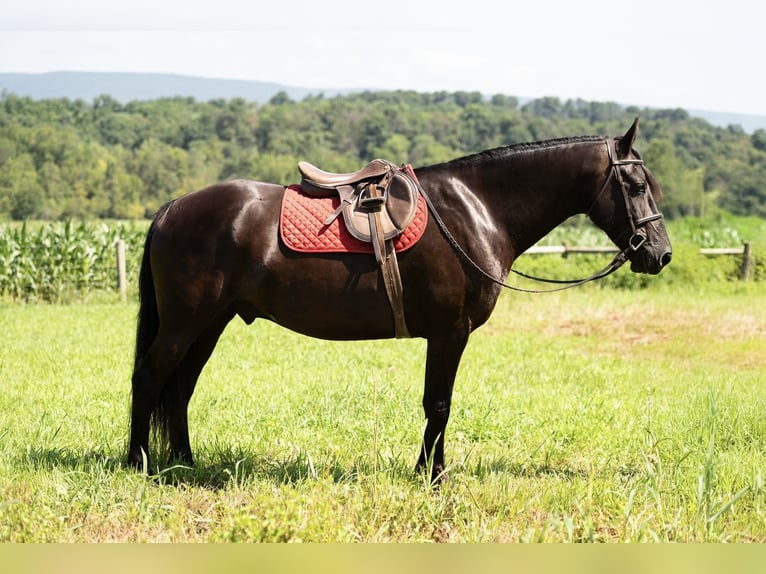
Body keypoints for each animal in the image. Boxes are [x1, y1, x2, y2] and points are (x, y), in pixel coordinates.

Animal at [127, 118, 672, 482]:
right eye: (636, 185)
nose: (660, 254)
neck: (477, 209)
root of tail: (172, 208)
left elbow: (436, 404)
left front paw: (429, 469)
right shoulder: (449, 332)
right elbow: (439, 403)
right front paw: (433, 475)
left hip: (209, 323)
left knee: (181, 388)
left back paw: (185, 463)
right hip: (183, 323)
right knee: (150, 378)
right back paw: (139, 462)